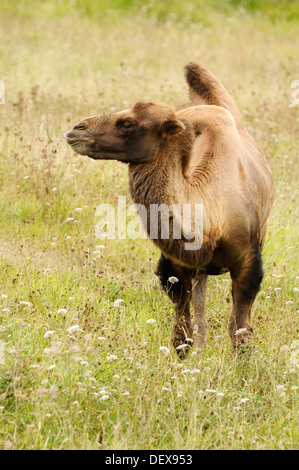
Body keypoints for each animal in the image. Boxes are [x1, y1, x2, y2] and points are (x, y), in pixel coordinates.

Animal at [64, 61, 276, 356]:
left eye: (127, 123)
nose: (77, 129)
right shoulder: (176, 265)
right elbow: (183, 335)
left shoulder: (249, 261)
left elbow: (241, 333)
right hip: (201, 272)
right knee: (201, 321)